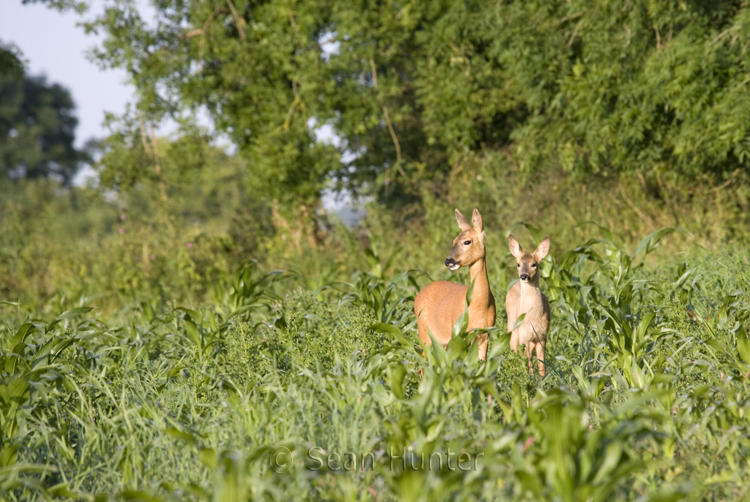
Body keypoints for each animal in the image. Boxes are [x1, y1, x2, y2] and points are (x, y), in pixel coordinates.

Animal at [414, 209, 496, 360]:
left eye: (467, 241)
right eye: (453, 241)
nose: (448, 261)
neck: (479, 306)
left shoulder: (485, 333)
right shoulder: (460, 334)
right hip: (423, 332)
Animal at [506, 235, 552, 376]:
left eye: (534, 264)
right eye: (518, 264)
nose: (524, 276)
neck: (532, 318)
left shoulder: (542, 335)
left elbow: (541, 362)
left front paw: (542, 379)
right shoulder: (523, 335)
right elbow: (529, 361)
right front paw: (530, 377)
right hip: (512, 329)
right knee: (515, 351)